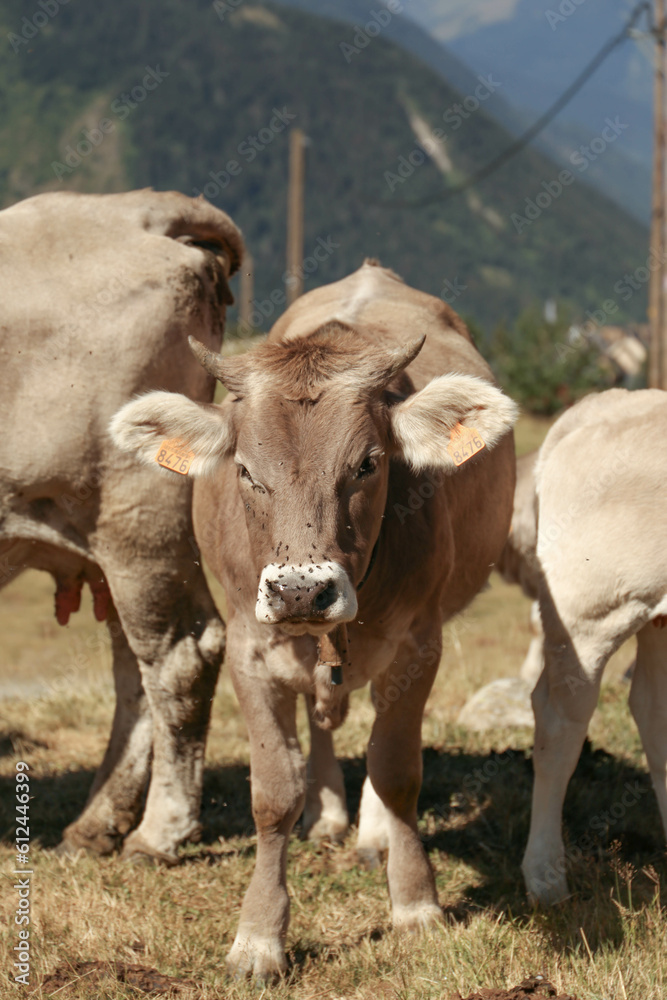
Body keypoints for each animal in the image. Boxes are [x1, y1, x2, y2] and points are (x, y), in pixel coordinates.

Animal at [1, 191, 243, 864]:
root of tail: (136, 209)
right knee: (135, 669)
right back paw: (98, 821)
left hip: (136, 517)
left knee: (180, 656)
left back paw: (160, 831)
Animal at [112, 262, 516, 980]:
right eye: (246, 471)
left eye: (368, 463)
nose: (302, 590)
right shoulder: (249, 650)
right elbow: (274, 792)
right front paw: (258, 936)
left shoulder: (420, 644)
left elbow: (397, 769)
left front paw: (415, 903)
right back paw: (326, 813)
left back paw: (371, 833)